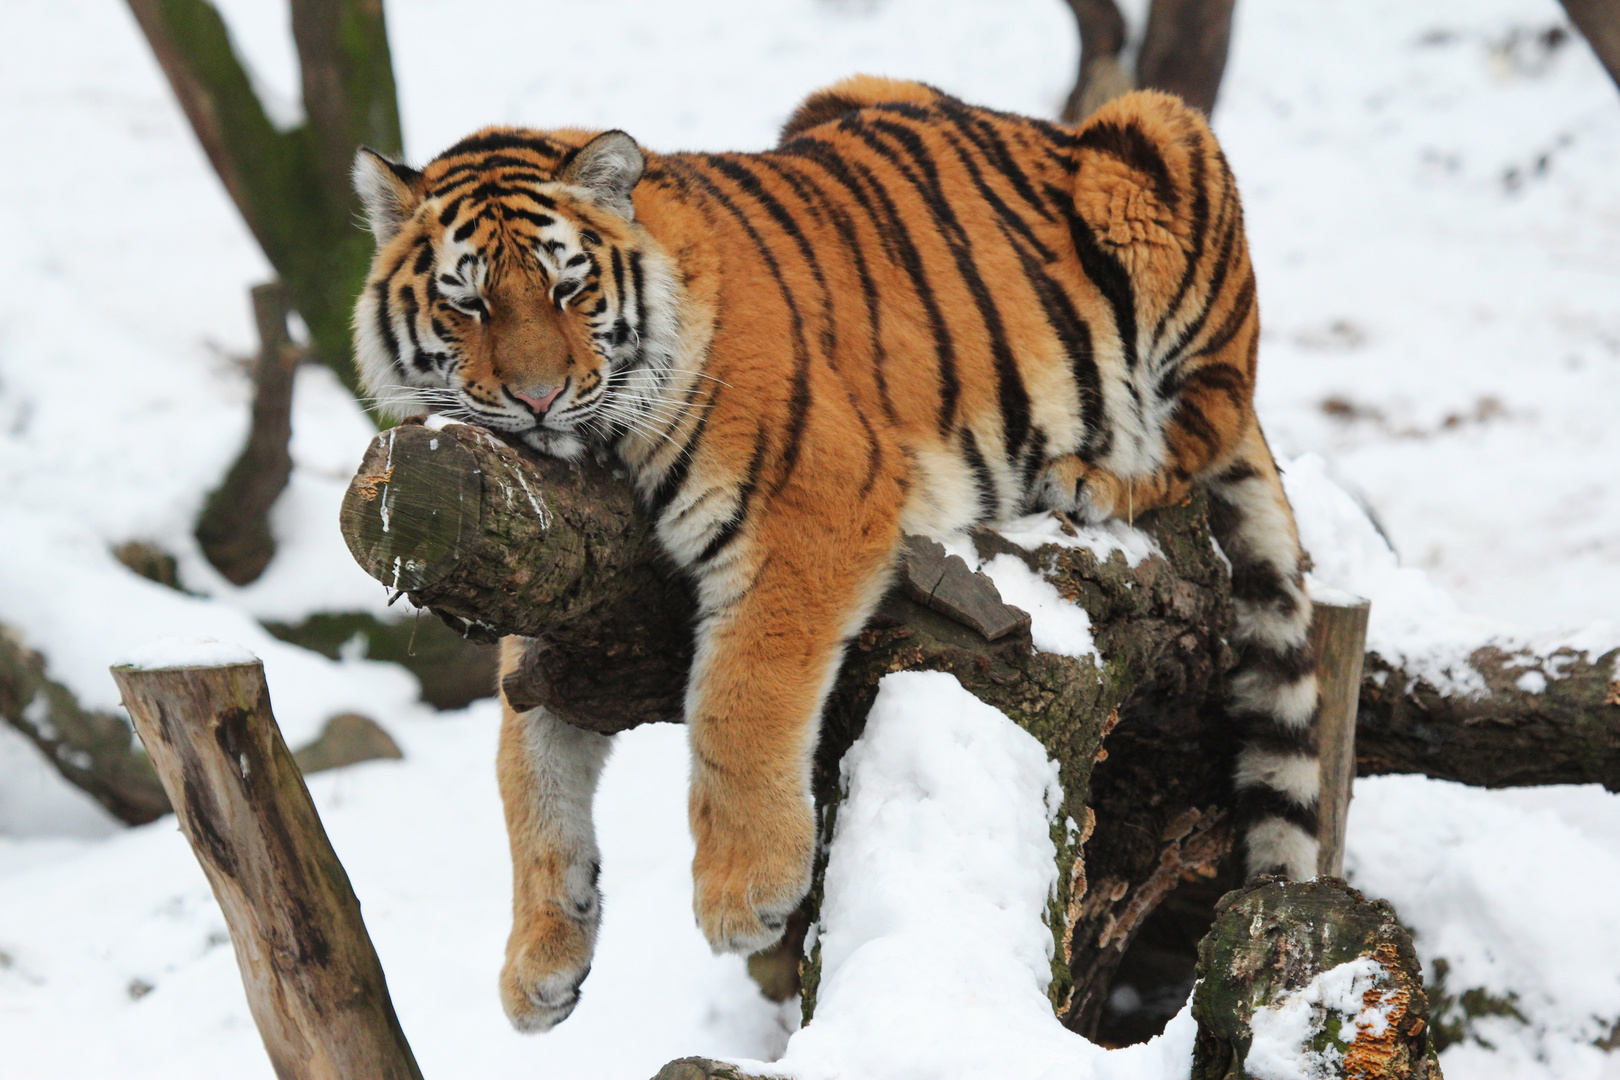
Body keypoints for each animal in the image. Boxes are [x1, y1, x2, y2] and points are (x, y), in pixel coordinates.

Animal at [351, 76, 1315, 1029]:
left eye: (569, 289)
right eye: (468, 303)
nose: (539, 398)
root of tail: (1043, 124)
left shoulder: (812, 499)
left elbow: (742, 691)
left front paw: (746, 892)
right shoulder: (561, 582)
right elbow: (525, 761)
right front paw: (543, 955)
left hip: (1159, 141)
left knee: (1207, 422)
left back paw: (1093, 477)